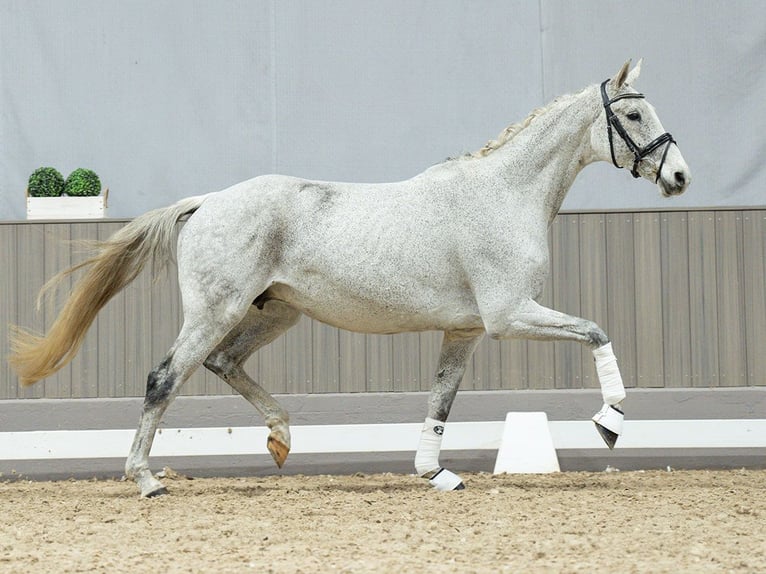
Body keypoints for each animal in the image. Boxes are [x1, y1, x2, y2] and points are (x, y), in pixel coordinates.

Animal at [7, 60, 688, 498]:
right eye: (632, 112)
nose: (680, 177)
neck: (503, 195)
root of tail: (207, 202)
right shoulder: (508, 315)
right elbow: (597, 331)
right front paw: (609, 423)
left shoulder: (466, 330)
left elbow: (441, 400)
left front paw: (435, 473)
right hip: (215, 310)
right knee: (164, 377)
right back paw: (147, 479)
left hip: (274, 312)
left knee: (223, 363)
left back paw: (280, 439)